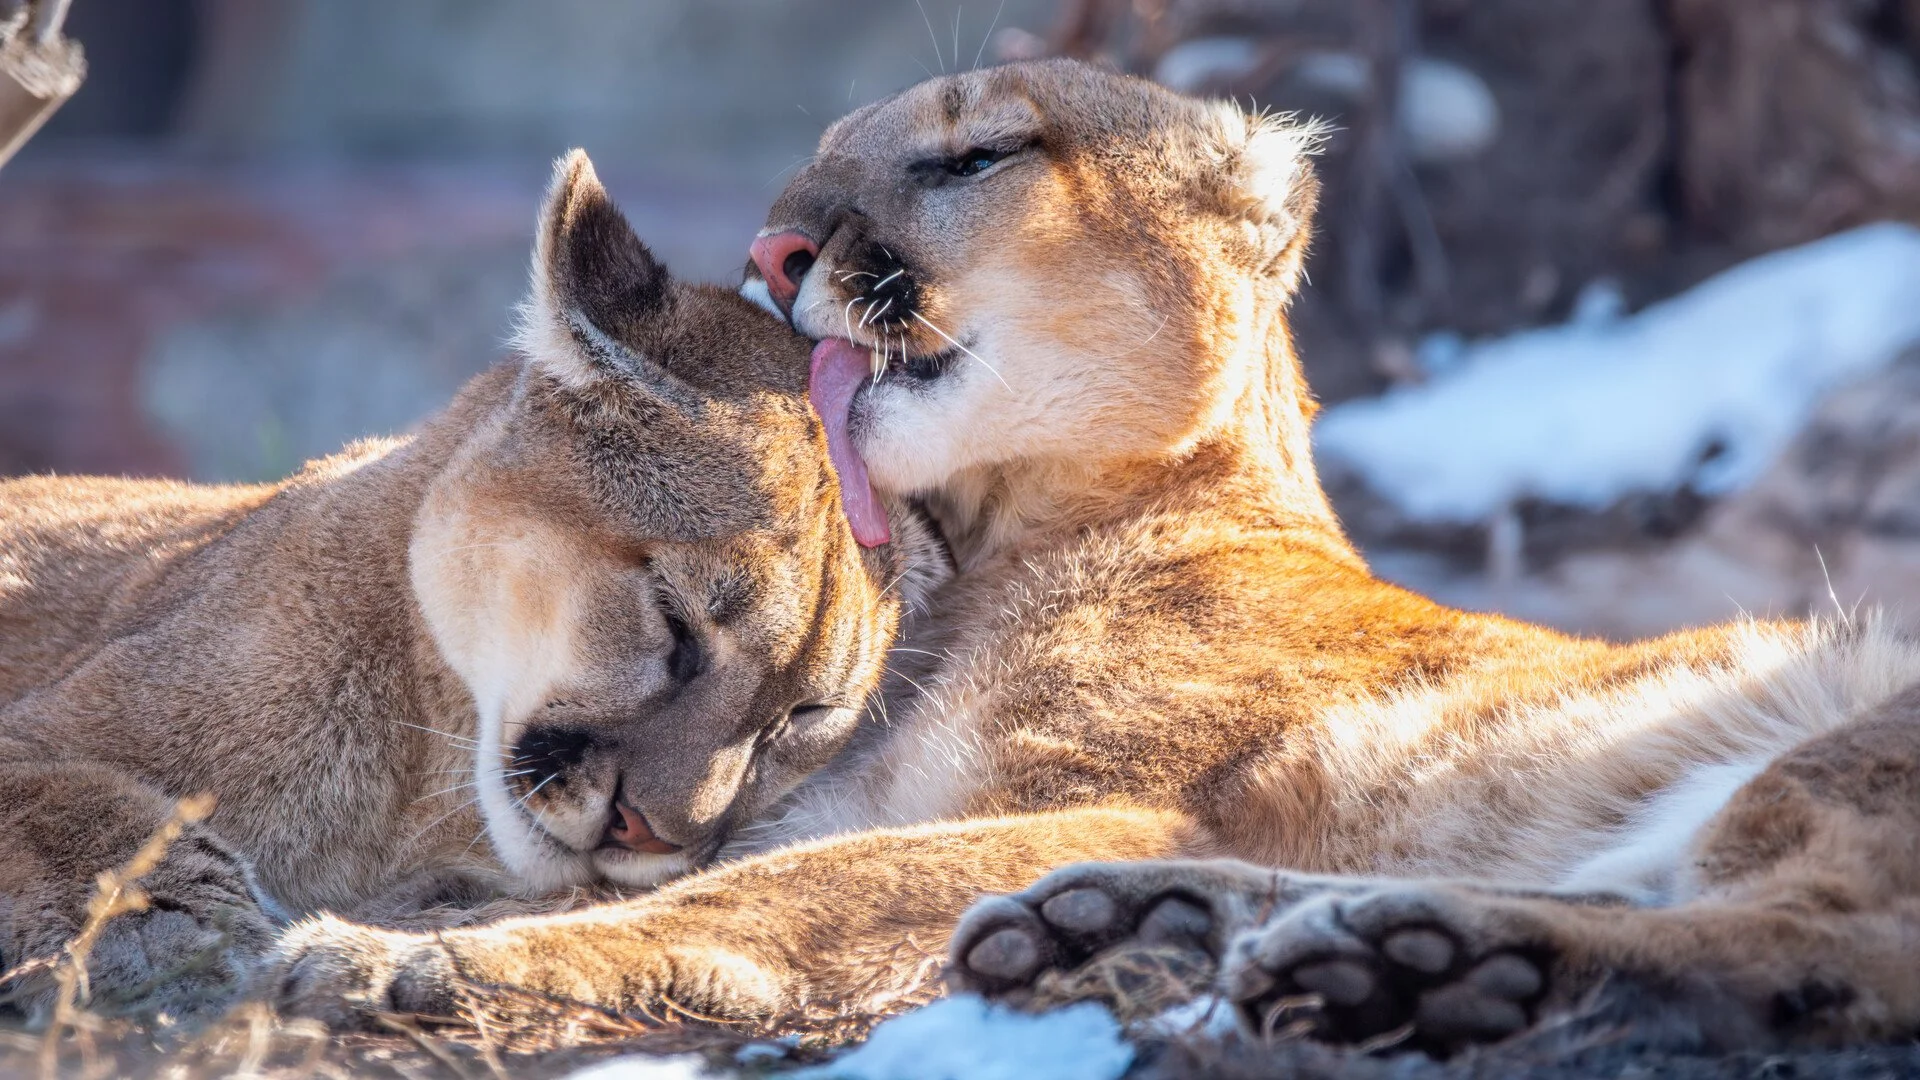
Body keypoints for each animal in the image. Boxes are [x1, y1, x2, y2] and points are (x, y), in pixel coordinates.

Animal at [0, 151, 941, 1021]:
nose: (648, 831)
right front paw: (171, 923)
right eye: (675, 624)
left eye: (803, 716)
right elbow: (64, 803)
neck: (419, 789)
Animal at [275, 62, 1920, 1054]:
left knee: (1819, 943)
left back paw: (1401, 953)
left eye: (975, 154)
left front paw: (386, 958)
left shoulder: (1088, 791)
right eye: (811, 164)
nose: (772, 252)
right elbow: (703, 873)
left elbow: (761, 890)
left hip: (1834, 749)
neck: (1008, 544)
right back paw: (1194, 927)